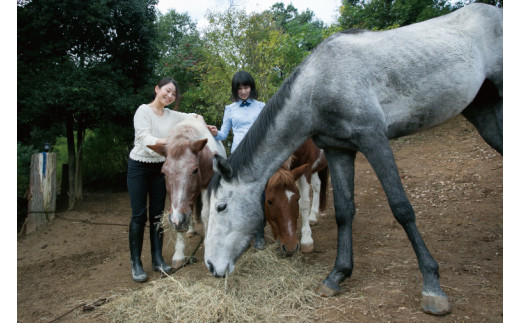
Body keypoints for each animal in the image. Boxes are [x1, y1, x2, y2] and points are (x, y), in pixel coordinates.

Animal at [202, 3, 500, 316]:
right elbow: (344, 211)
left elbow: (402, 208)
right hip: (483, 110)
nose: (211, 265)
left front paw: (432, 285)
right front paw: (337, 275)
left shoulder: (374, 140)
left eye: (221, 207)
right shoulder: (339, 150)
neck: (319, 86)